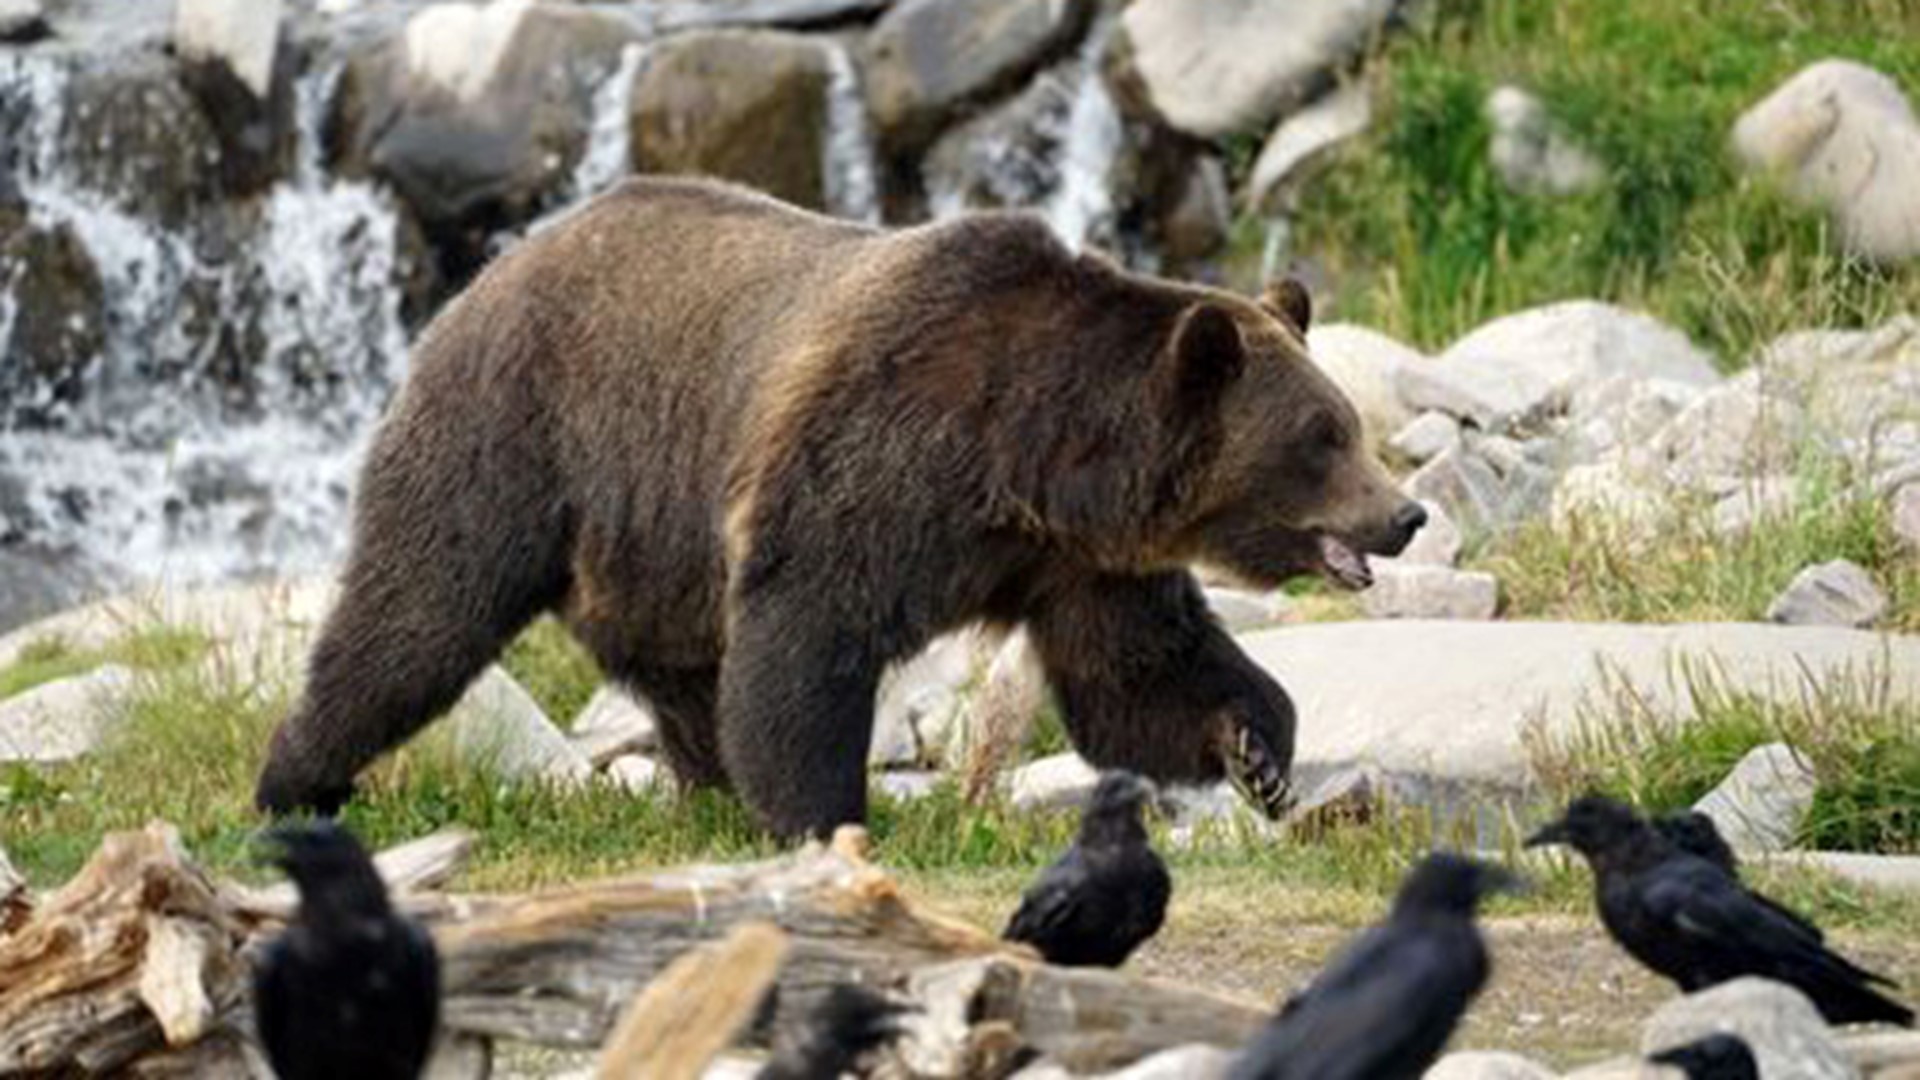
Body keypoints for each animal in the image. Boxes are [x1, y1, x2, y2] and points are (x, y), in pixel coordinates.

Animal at [254, 177, 1426, 839]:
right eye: (1322, 437)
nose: (1404, 515)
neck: (1034, 455)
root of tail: (488, 273)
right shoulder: (877, 452)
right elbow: (808, 631)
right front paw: (826, 816)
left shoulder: (1082, 560)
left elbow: (1139, 670)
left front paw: (1259, 747)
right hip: (521, 433)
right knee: (419, 614)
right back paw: (295, 781)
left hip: (649, 542)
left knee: (683, 674)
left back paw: (710, 789)